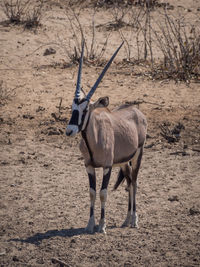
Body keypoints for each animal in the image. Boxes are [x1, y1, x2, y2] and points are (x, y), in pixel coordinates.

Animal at [65, 42, 147, 234]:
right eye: (72, 107)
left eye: (86, 109)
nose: (70, 131)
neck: (93, 140)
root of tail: (136, 111)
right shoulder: (89, 166)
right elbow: (92, 192)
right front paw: (90, 224)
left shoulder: (107, 166)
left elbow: (103, 193)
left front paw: (102, 225)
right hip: (124, 162)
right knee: (129, 182)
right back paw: (126, 219)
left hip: (138, 155)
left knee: (135, 182)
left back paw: (134, 219)